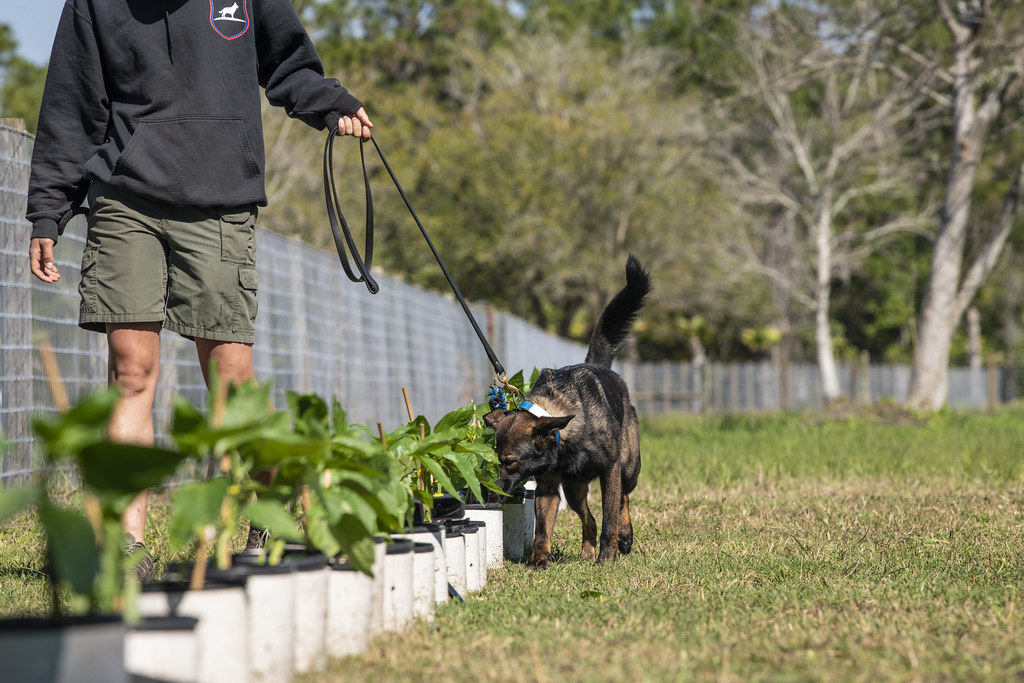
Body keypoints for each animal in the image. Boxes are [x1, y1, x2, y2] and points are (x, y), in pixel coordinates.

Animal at [485, 253, 647, 569]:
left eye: (510, 462)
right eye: (498, 460)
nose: (493, 493)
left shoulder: (610, 469)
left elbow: (610, 516)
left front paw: (606, 557)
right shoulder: (548, 486)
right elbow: (542, 528)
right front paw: (539, 560)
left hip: (628, 466)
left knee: (623, 498)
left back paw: (624, 537)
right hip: (573, 489)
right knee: (589, 519)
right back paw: (586, 553)